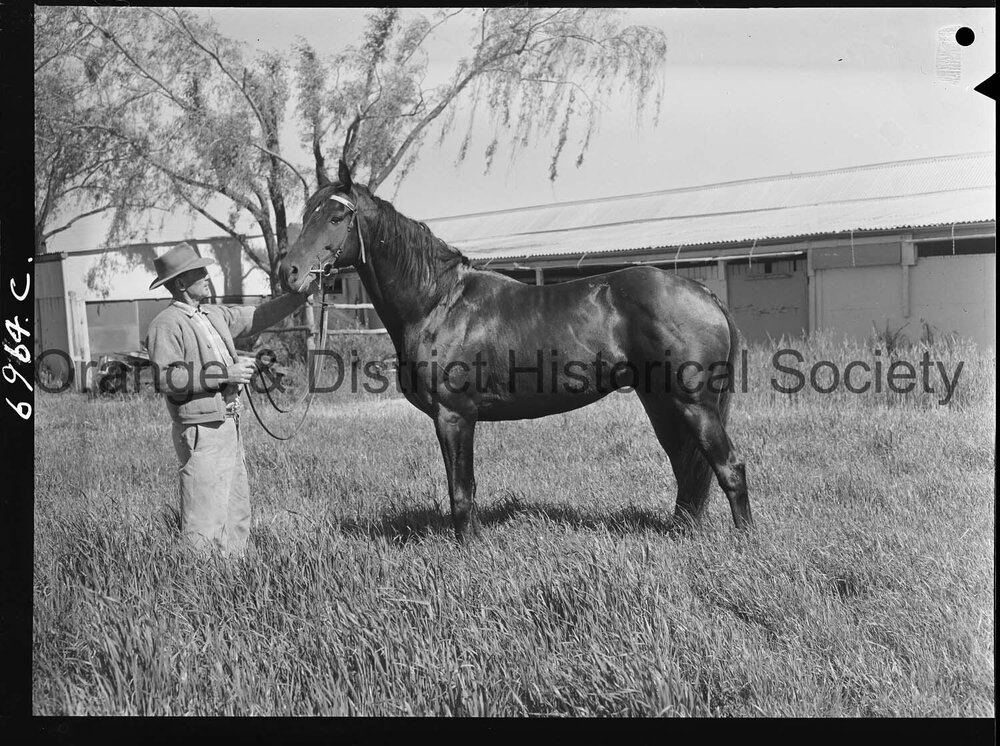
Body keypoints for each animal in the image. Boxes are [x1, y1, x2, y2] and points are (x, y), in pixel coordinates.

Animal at [280, 159, 752, 542]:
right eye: (307, 215)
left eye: (337, 215)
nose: (289, 272)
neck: (438, 303)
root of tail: (703, 292)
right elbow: (463, 489)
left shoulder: (454, 415)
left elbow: (461, 491)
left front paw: (467, 550)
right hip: (660, 402)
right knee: (686, 467)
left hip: (694, 404)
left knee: (729, 467)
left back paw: (743, 542)